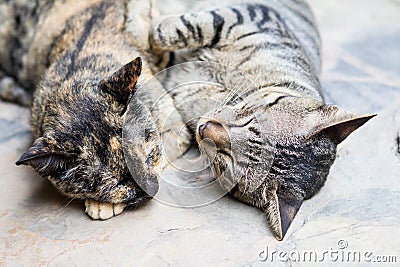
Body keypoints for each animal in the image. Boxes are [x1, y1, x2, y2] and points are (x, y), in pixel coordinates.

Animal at [151, 0, 376, 242]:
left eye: (227, 159)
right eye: (249, 120)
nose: (205, 128)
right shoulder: (248, 17)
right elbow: (175, 31)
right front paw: (155, 29)